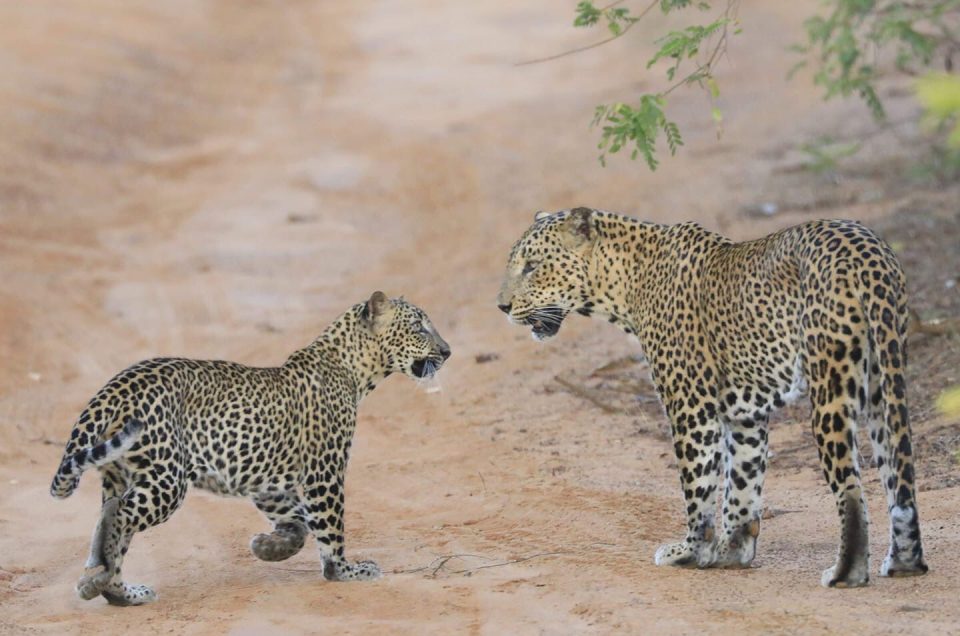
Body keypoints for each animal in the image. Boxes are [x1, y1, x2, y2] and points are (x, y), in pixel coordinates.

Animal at [51, 294, 454, 608]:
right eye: (419, 327)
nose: (447, 352)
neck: (354, 369)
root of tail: (115, 387)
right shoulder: (325, 470)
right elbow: (329, 526)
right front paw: (345, 571)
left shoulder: (267, 482)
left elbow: (298, 522)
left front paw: (267, 547)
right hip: (167, 478)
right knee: (119, 516)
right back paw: (102, 579)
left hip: (118, 473)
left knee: (110, 517)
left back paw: (115, 589)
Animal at [498, 207, 928, 588]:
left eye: (532, 266)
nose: (501, 306)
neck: (624, 283)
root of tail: (869, 253)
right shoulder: (745, 414)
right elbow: (743, 483)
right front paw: (732, 552)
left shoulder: (690, 404)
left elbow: (698, 482)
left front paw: (692, 551)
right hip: (884, 380)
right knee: (899, 475)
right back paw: (904, 563)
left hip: (831, 382)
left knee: (851, 488)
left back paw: (846, 574)